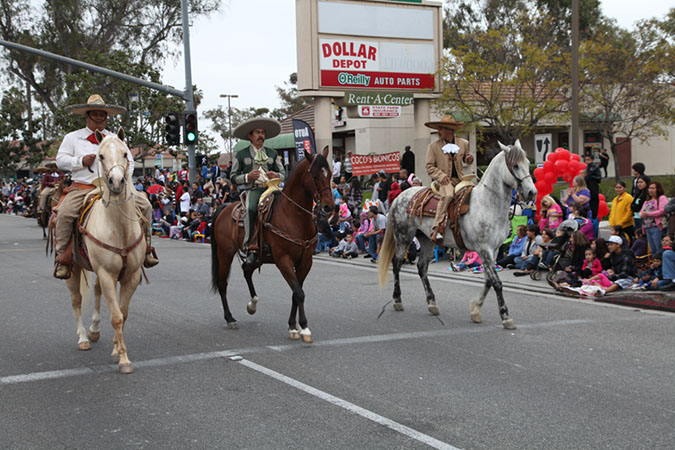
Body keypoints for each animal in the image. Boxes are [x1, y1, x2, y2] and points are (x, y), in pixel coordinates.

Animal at [64, 129, 145, 372]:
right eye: (99, 156)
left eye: (125, 153)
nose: (117, 182)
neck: (119, 228)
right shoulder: (108, 274)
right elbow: (116, 316)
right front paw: (124, 360)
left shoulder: (131, 275)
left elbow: (123, 313)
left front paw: (116, 349)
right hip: (73, 269)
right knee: (76, 300)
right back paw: (83, 338)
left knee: (97, 291)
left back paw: (94, 330)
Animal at [211, 147, 336, 342]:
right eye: (315, 176)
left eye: (329, 174)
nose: (329, 207)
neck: (293, 215)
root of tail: (224, 206)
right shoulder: (283, 260)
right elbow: (299, 293)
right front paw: (304, 328)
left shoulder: (305, 262)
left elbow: (296, 293)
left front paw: (293, 326)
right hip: (225, 254)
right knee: (223, 283)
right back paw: (230, 318)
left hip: (258, 257)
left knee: (247, 270)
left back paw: (252, 305)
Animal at [378, 142, 536, 330]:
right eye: (516, 165)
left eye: (528, 163)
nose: (532, 192)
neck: (487, 204)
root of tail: (399, 197)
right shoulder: (484, 249)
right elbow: (496, 283)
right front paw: (505, 316)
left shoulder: (494, 250)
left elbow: (489, 280)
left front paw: (476, 311)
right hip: (403, 238)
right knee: (396, 264)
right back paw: (397, 300)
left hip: (427, 240)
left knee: (422, 267)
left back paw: (432, 303)